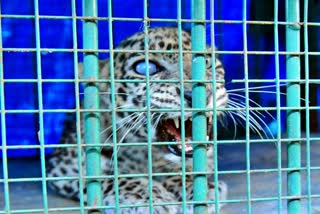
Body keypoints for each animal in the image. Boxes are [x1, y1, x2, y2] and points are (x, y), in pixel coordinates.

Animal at [46, 27, 229, 214]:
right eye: (145, 68)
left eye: (206, 61)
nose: (201, 95)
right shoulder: (65, 166)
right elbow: (107, 176)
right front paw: (147, 197)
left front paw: (199, 188)